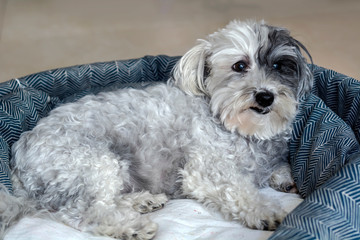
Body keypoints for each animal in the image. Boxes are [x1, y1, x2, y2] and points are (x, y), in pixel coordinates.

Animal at [0, 19, 312, 239]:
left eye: (279, 66)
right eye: (239, 65)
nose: (265, 96)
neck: (239, 129)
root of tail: (17, 168)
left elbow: (277, 166)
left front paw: (284, 176)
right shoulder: (208, 171)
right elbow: (241, 191)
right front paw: (265, 211)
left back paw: (142, 201)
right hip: (94, 162)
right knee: (86, 212)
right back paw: (132, 227)